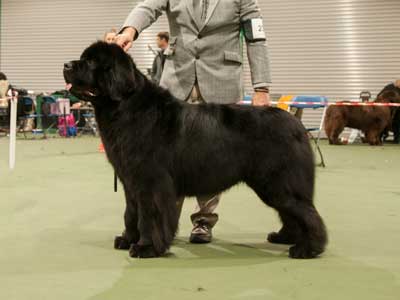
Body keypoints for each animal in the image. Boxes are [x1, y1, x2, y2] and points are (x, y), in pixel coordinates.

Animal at [61, 41, 324, 258]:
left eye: (92, 62)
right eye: (84, 58)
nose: (65, 64)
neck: (125, 107)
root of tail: (296, 123)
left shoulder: (150, 181)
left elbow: (148, 215)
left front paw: (146, 247)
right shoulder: (130, 181)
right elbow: (131, 213)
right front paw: (127, 239)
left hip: (279, 183)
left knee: (307, 213)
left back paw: (307, 249)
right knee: (292, 212)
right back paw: (285, 237)